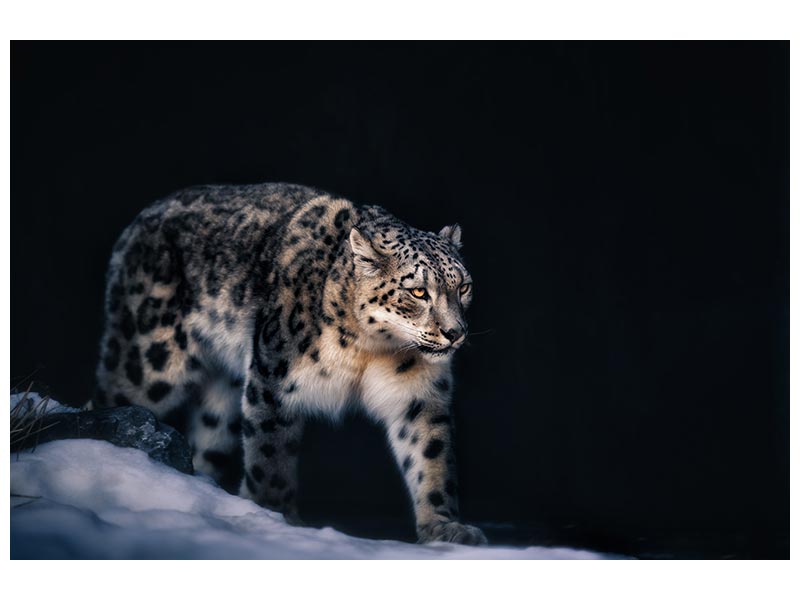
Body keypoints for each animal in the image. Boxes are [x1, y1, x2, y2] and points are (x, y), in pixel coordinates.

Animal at [91, 182, 487, 545]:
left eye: (463, 286)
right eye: (418, 291)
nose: (455, 332)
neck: (372, 349)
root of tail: (141, 219)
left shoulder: (418, 394)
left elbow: (430, 456)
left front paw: (444, 527)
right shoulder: (274, 380)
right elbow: (270, 456)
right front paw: (276, 517)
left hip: (222, 397)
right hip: (147, 360)